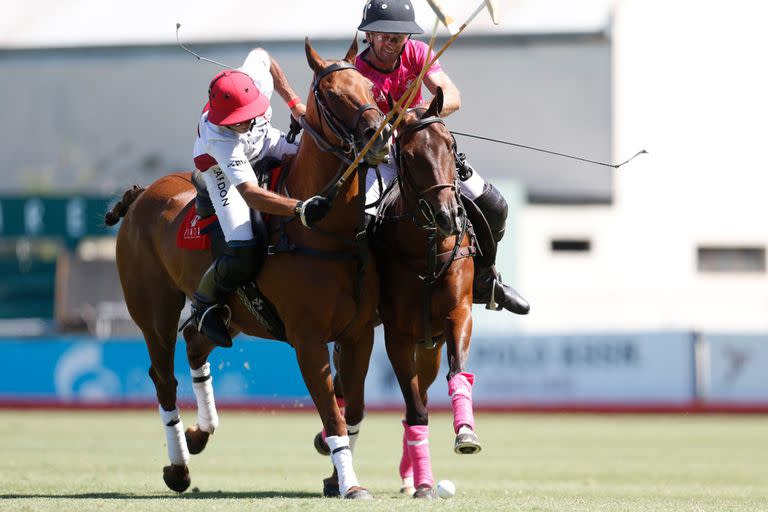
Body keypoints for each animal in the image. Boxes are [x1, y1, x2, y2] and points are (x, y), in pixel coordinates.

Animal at [102, 39, 390, 500]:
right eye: (332, 95)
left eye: (369, 87)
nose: (379, 135)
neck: (331, 233)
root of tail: (145, 193)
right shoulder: (308, 339)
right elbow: (333, 415)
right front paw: (350, 486)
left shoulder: (359, 333)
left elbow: (355, 410)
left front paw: (338, 478)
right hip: (152, 311)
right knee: (164, 377)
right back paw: (179, 467)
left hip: (233, 316)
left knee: (197, 341)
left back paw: (200, 434)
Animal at [320, 88, 480, 500]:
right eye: (407, 156)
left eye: (450, 145)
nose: (448, 217)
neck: (427, 246)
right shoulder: (397, 332)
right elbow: (414, 409)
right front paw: (425, 485)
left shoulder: (458, 314)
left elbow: (456, 374)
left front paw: (466, 435)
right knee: (352, 391)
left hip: (429, 345)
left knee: (423, 389)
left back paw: (408, 475)